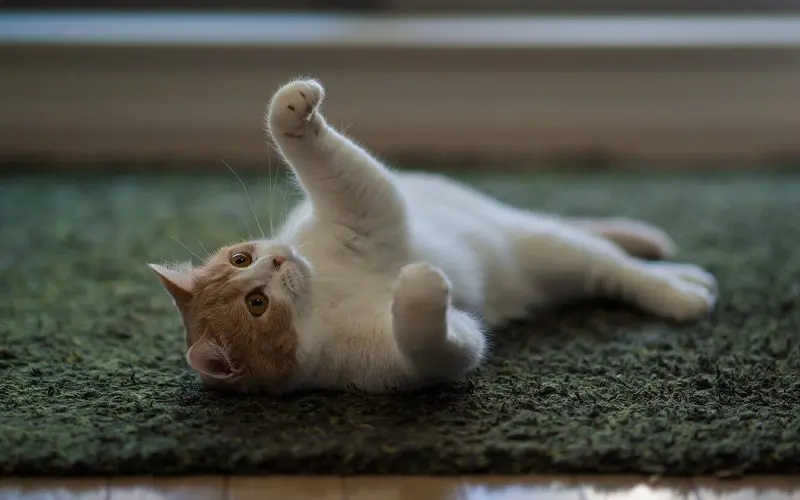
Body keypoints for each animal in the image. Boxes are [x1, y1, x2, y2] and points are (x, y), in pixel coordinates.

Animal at [150, 77, 720, 394]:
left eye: (241, 259)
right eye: (256, 305)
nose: (277, 261)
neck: (327, 290)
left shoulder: (363, 205)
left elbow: (328, 161)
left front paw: (293, 108)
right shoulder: (408, 362)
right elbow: (438, 341)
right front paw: (418, 289)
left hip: (540, 239)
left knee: (617, 261)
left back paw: (674, 273)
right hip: (546, 257)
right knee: (615, 272)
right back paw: (687, 293)